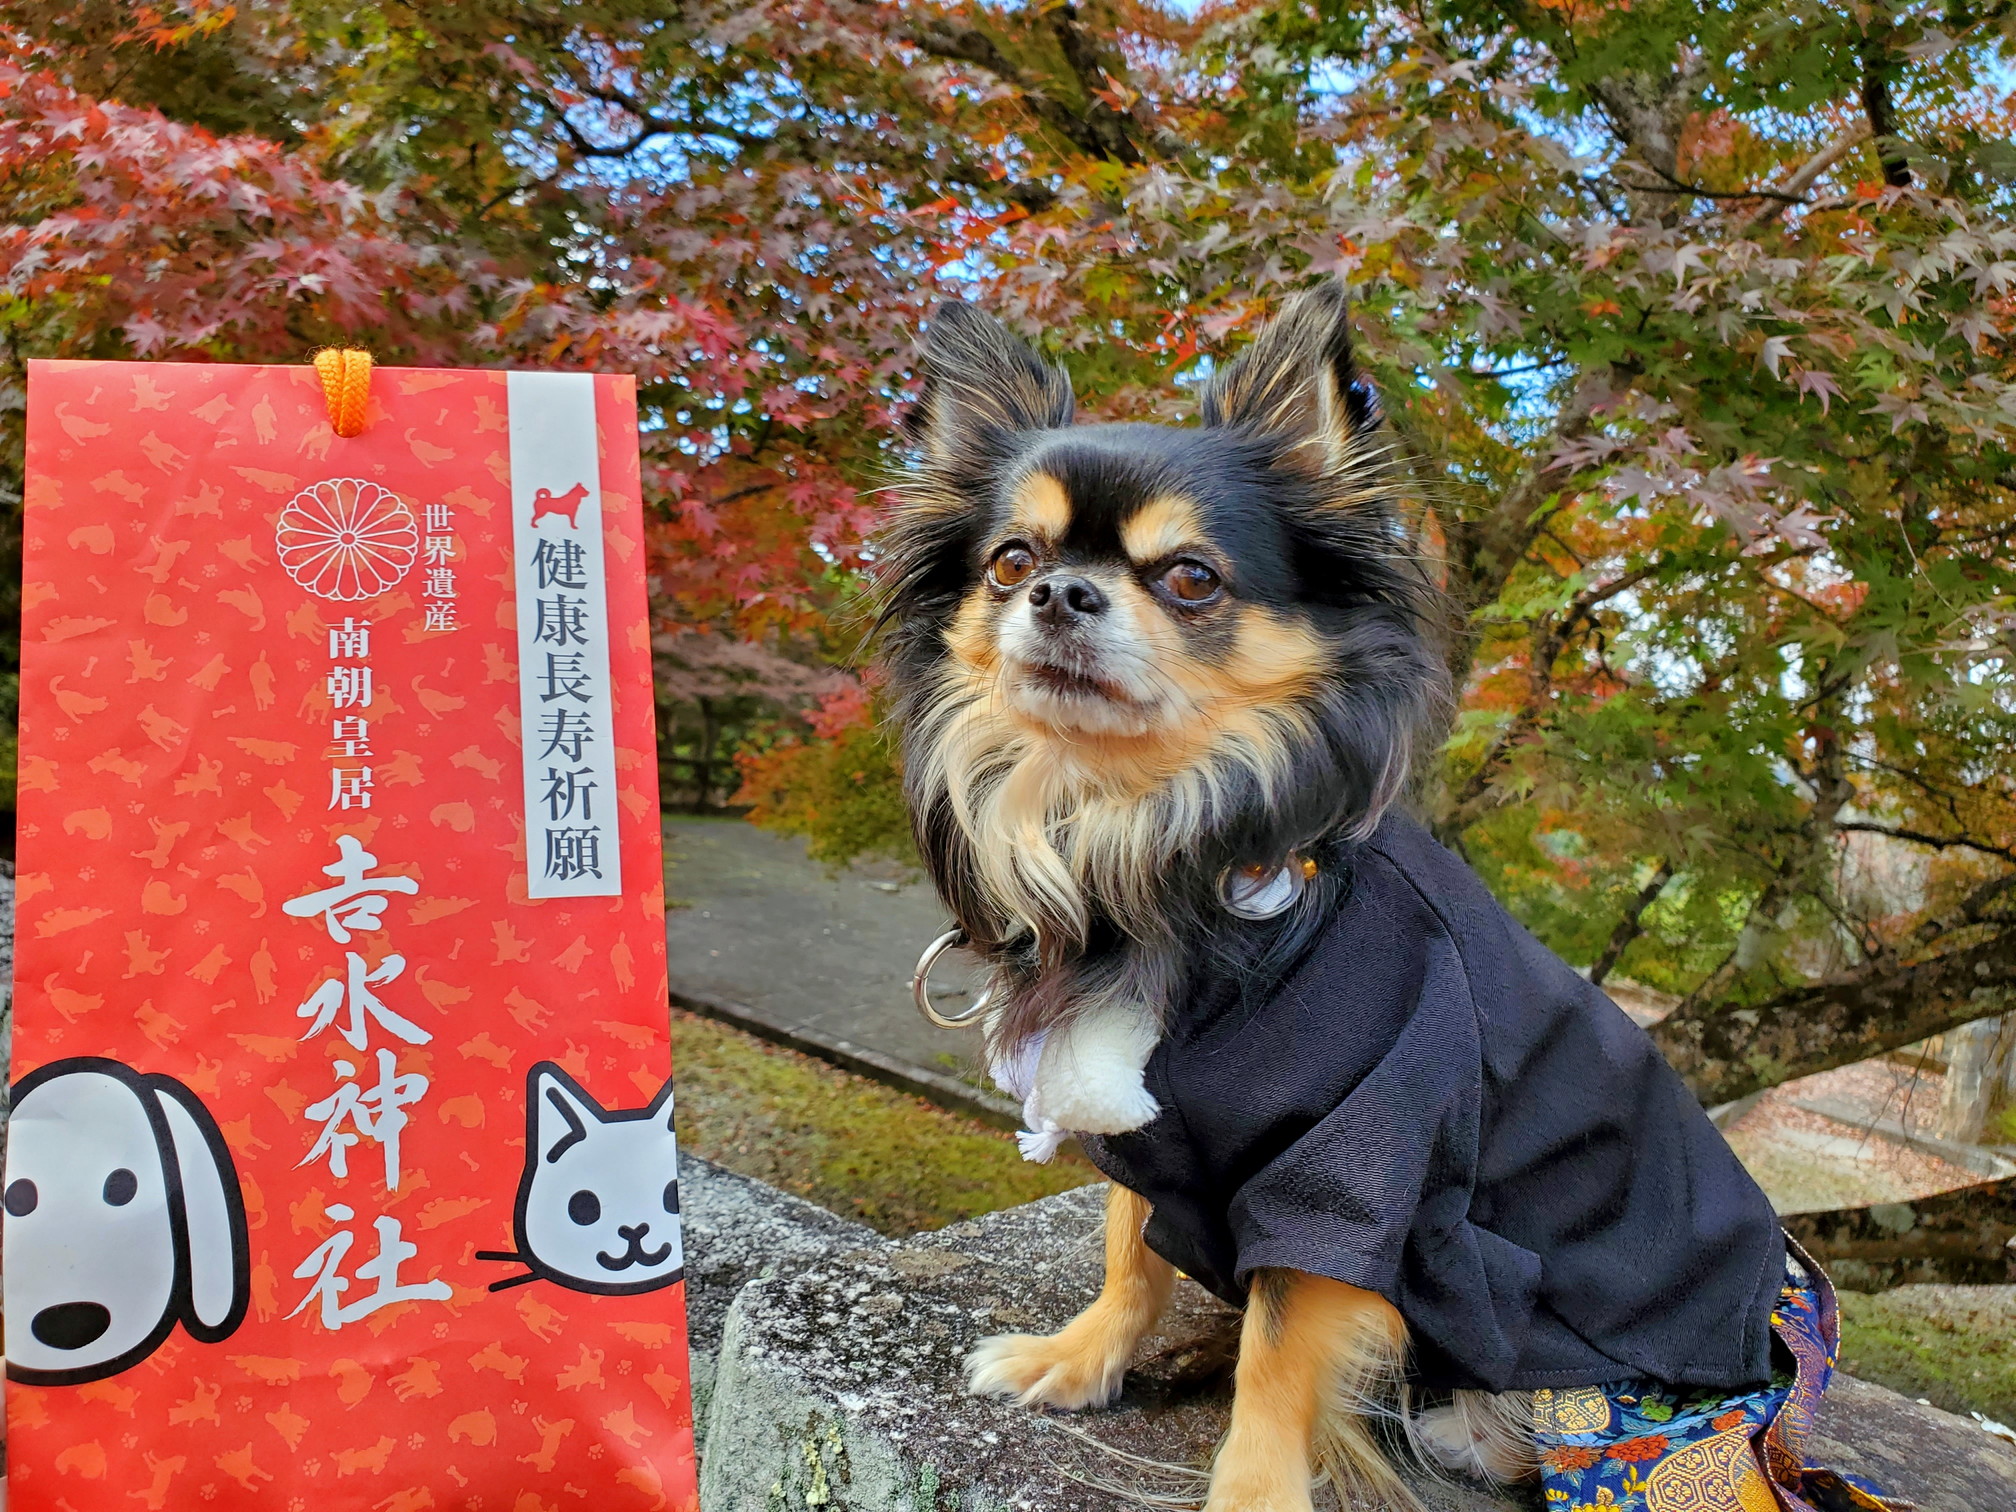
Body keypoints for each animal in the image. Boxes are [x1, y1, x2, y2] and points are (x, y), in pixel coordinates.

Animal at [874, 286, 1790, 1512]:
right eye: (1010, 562)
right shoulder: (1148, 1115)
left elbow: (1278, 1347)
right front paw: (1081, 1358)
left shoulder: (1354, 1159)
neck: (1152, 834)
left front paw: (1254, 1488)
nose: (1061, 592)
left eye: (1191, 578)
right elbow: (1130, 1251)